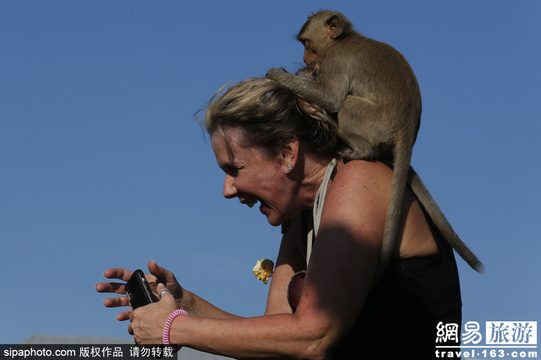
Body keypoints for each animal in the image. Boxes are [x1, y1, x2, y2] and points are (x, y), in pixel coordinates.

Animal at [266, 10, 480, 276]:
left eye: (306, 43)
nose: (305, 59)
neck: (342, 41)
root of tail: (407, 129)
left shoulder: (336, 61)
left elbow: (331, 98)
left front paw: (277, 75)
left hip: (374, 122)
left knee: (347, 105)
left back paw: (361, 152)